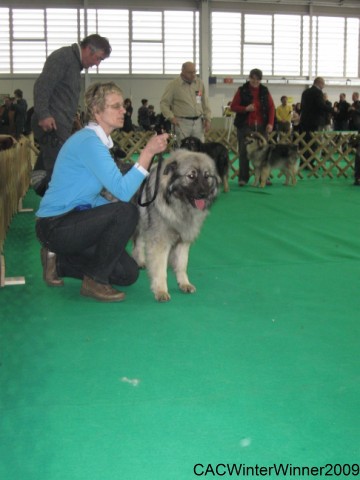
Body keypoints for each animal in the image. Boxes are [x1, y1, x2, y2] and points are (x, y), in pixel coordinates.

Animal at [132, 148, 221, 302]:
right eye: (191, 176)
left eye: (207, 176)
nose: (203, 194)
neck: (178, 203)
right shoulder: (160, 242)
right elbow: (160, 269)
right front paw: (161, 290)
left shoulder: (183, 241)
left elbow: (181, 264)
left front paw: (184, 283)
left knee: (138, 241)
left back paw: (140, 260)